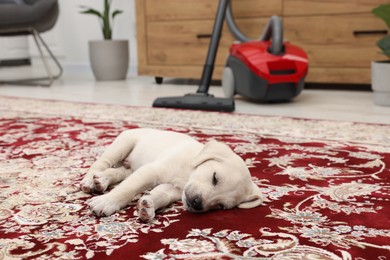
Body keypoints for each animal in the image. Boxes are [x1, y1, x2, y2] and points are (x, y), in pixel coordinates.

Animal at [80, 128, 264, 221]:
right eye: (215, 178)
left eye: (221, 206)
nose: (197, 204)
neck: (189, 170)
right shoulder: (152, 171)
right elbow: (127, 189)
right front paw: (107, 202)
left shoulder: (173, 189)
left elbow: (160, 195)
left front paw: (148, 207)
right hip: (123, 144)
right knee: (101, 163)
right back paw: (89, 181)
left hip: (129, 167)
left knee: (116, 172)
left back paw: (101, 181)